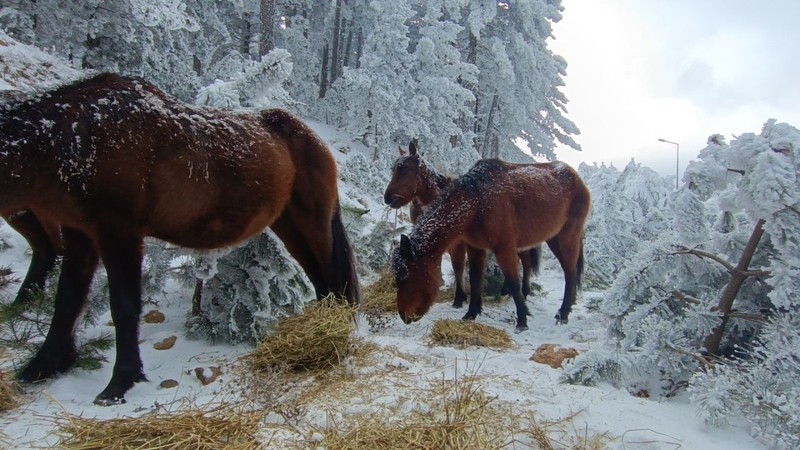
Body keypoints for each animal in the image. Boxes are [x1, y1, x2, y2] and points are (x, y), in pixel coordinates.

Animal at [0, 73, 358, 404]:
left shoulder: (120, 234)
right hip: (289, 225)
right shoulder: (81, 234)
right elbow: (68, 300)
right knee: (318, 275)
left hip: (312, 220)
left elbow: (124, 306)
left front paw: (120, 383)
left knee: (331, 271)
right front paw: (42, 366)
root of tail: (312, 139)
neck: (75, 138)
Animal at [390, 158, 592, 330]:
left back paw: (563, 313)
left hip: (567, 236)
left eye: (409, 277)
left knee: (570, 272)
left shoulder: (503, 248)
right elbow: (474, 278)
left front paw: (522, 320)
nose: (404, 316)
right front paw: (471, 313)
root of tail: (577, 178)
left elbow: (512, 281)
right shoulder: (475, 248)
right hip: (551, 238)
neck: (477, 201)